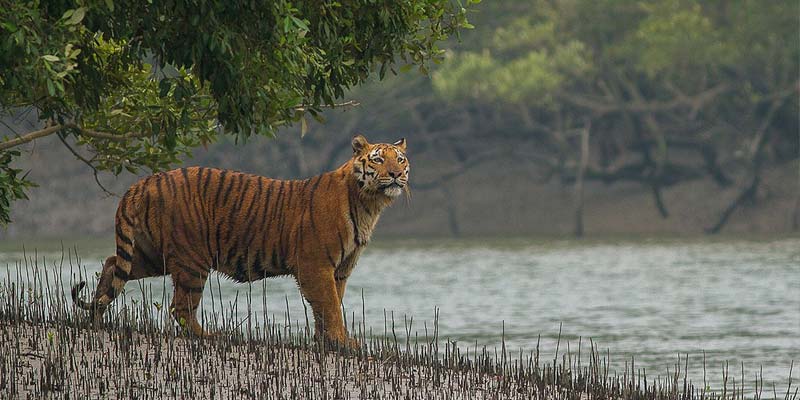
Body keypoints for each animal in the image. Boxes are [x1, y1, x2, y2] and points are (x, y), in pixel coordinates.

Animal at [71, 134, 410, 346]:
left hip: (151, 254)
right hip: (192, 259)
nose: (396, 174)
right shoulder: (316, 265)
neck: (369, 203)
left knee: (112, 264)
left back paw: (96, 319)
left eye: (401, 160)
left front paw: (327, 340)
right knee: (180, 307)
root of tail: (144, 182)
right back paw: (209, 336)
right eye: (378, 160)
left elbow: (330, 305)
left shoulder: (340, 269)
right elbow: (329, 305)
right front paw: (342, 341)